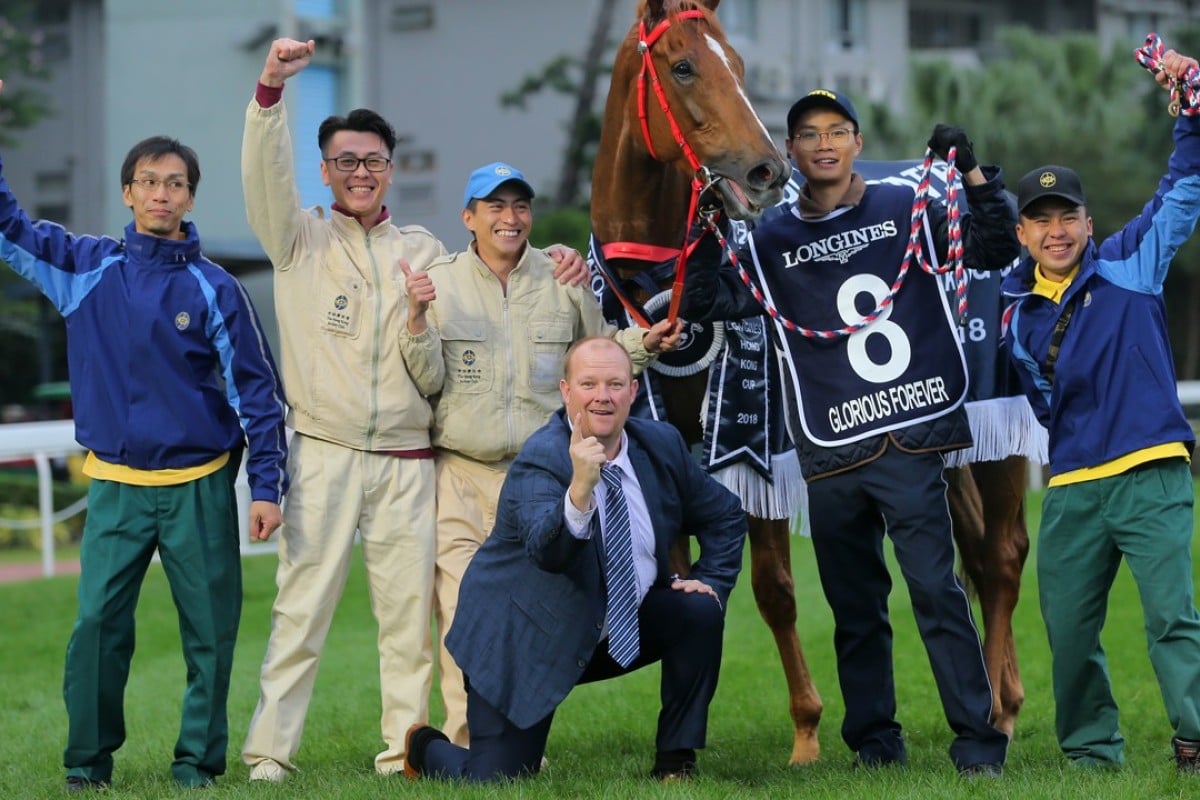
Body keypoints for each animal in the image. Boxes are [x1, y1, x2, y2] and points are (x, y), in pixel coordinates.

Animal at [590, 0, 1032, 767]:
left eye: (738, 64)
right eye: (684, 65)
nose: (765, 169)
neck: (658, 278)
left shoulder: (754, 447)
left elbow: (774, 589)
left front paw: (806, 732)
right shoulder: (662, 444)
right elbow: (673, 573)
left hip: (994, 425)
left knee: (1000, 559)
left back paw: (999, 715)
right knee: (974, 553)